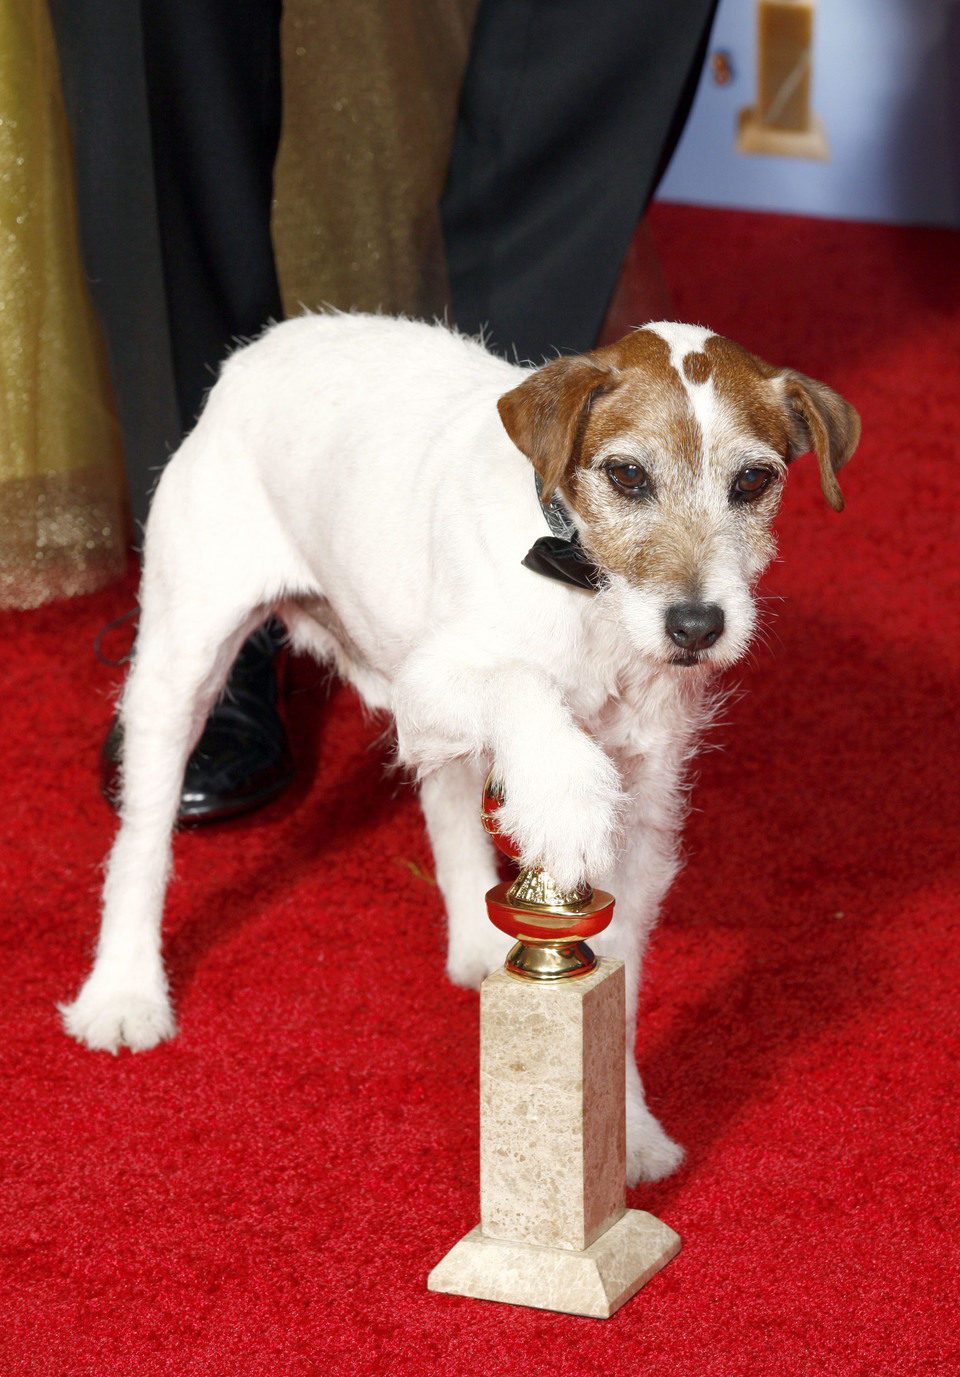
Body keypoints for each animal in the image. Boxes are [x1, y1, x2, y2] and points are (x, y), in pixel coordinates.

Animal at [65, 312, 859, 1184]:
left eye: (752, 481)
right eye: (626, 474)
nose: (696, 626)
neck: (581, 582)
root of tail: (269, 340)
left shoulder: (645, 803)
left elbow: (615, 978)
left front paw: (626, 1129)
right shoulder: (428, 683)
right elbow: (522, 684)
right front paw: (563, 793)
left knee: (446, 804)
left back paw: (480, 942)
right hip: (182, 663)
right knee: (142, 838)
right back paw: (124, 992)